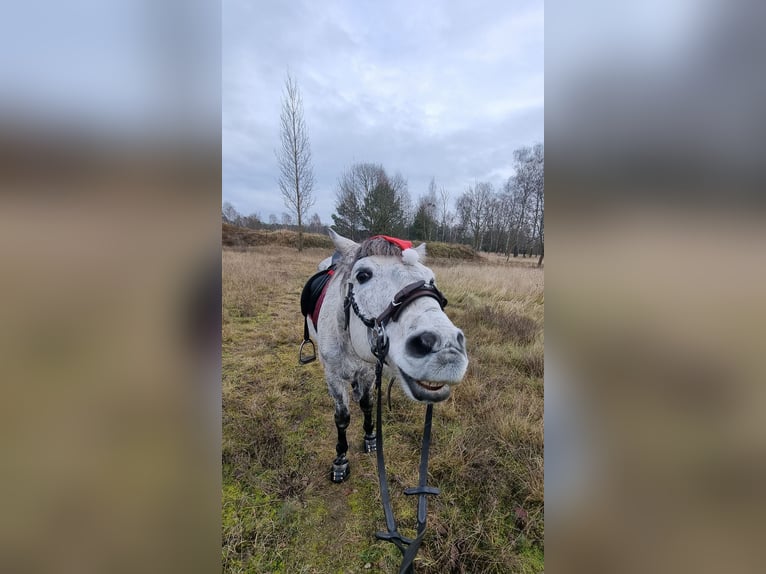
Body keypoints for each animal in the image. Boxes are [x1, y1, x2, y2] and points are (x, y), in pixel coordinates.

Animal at [303, 229, 469, 483]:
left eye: (431, 280)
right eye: (362, 275)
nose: (446, 350)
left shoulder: (370, 370)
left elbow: (367, 404)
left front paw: (370, 438)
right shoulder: (333, 376)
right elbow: (342, 418)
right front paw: (340, 460)